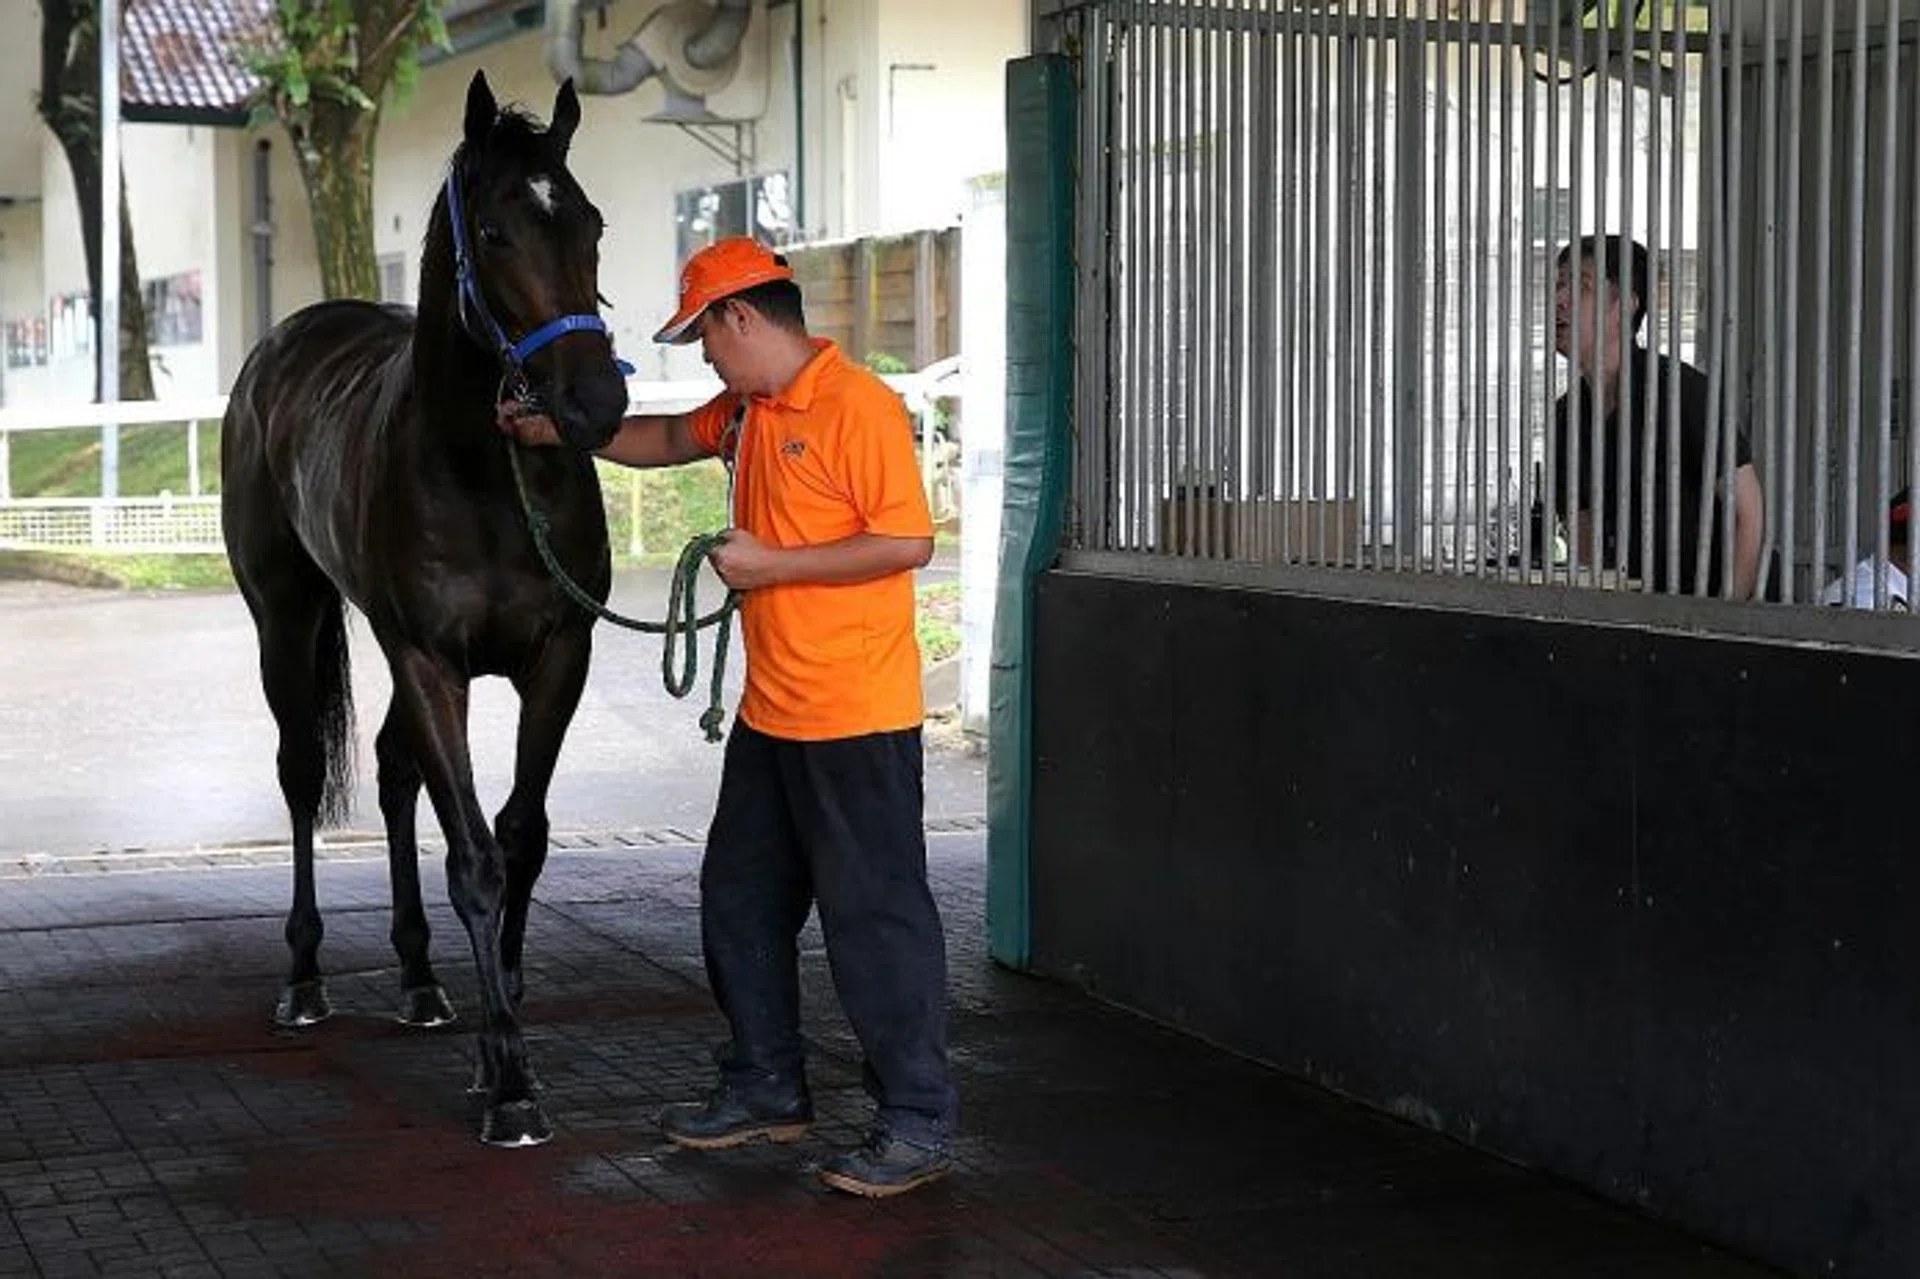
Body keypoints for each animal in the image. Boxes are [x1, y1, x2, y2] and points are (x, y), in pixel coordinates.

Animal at [220, 70, 629, 1147]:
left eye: (592, 224)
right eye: (492, 232)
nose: (596, 402)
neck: (481, 472)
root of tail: (287, 339)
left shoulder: (556, 657)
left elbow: (519, 838)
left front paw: (501, 1031)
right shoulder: (432, 660)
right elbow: (475, 856)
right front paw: (513, 1086)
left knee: (396, 769)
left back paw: (417, 977)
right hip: (290, 615)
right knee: (300, 770)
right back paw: (305, 978)